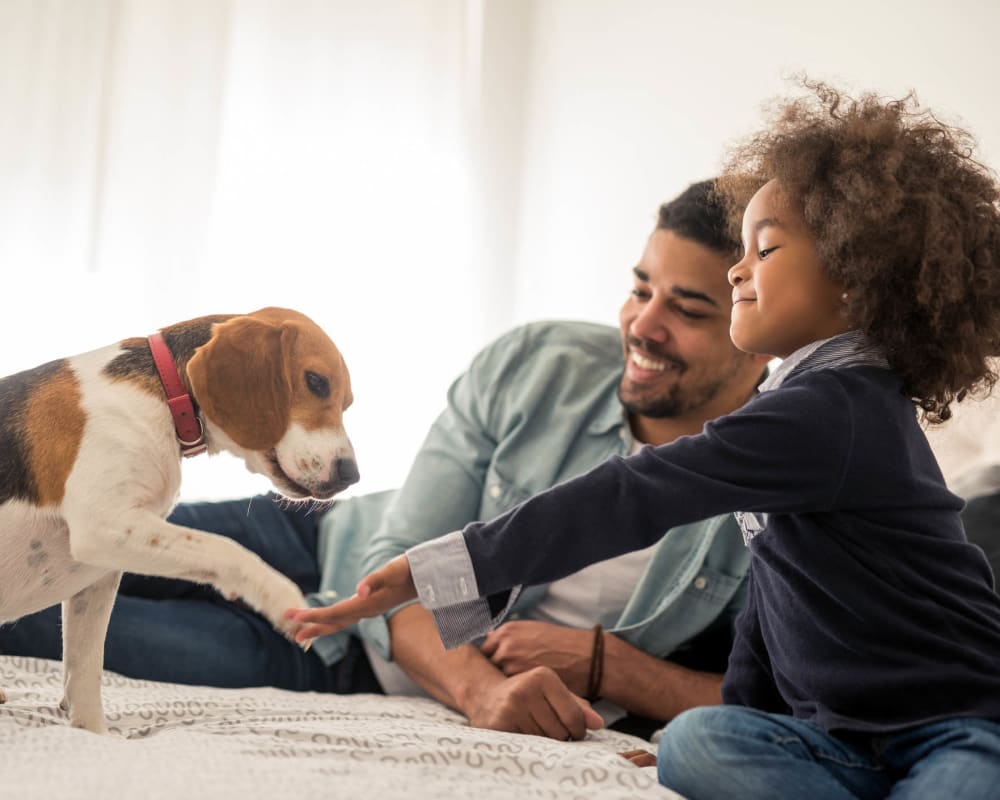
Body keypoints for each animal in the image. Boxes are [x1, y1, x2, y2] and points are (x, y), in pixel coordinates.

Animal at [0, 306, 360, 732]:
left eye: (347, 403)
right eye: (316, 382)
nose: (351, 475)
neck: (163, 394)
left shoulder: (99, 574)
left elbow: (84, 669)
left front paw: (94, 735)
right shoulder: (103, 524)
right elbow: (226, 548)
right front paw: (280, 596)